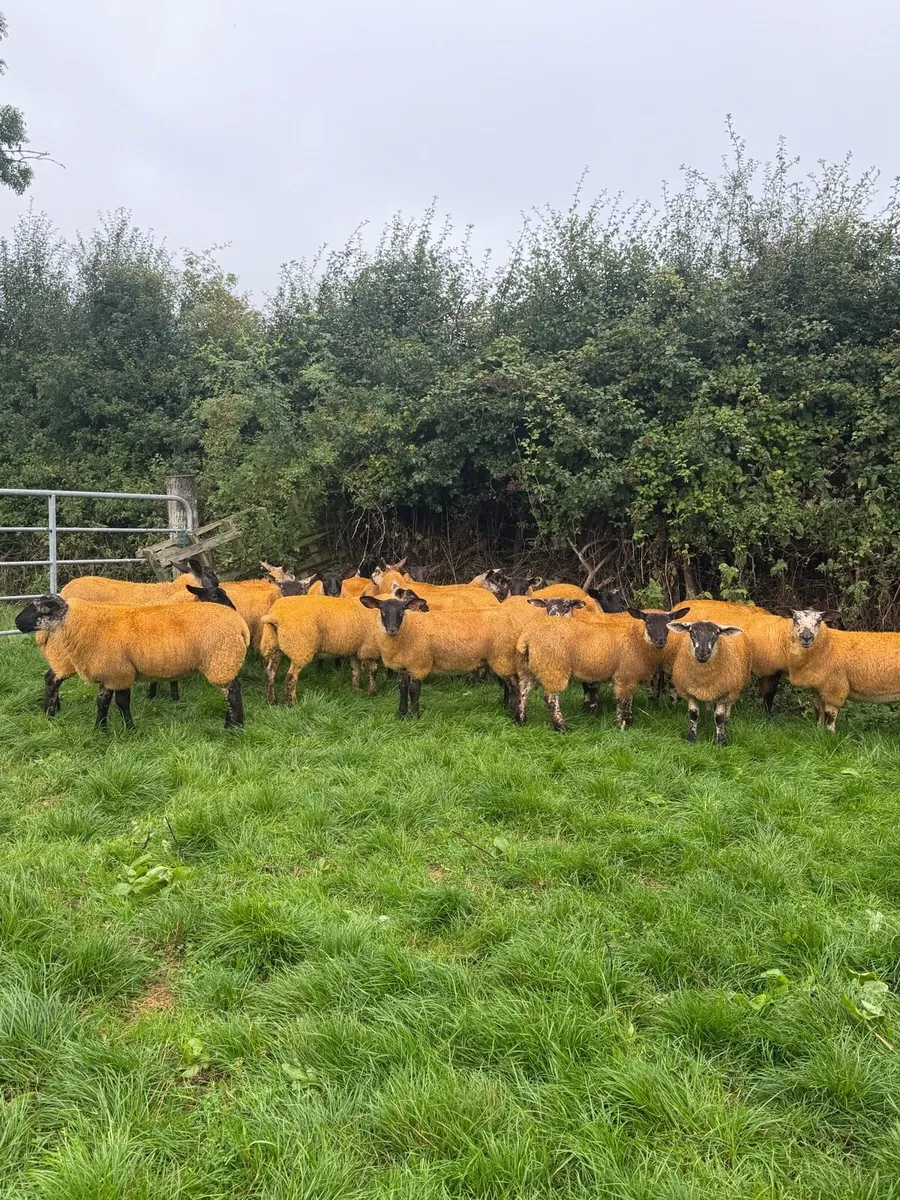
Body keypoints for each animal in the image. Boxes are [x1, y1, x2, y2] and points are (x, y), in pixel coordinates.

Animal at [16, 592, 249, 730]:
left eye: (37, 608)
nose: (17, 622)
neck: (79, 623)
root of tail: (240, 624)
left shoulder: (120, 673)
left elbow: (121, 703)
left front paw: (129, 729)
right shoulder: (110, 673)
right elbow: (102, 702)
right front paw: (100, 729)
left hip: (221, 660)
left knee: (233, 693)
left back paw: (233, 727)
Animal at [360, 590, 521, 719]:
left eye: (402, 611)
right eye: (382, 610)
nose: (392, 629)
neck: (408, 630)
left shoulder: (419, 665)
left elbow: (414, 690)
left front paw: (415, 716)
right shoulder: (402, 668)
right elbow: (403, 689)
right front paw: (401, 714)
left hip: (501, 657)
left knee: (515, 686)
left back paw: (515, 715)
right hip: (501, 658)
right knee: (507, 684)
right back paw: (506, 707)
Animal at [515, 605, 690, 731]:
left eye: (667, 625)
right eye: (648, 622)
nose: (660, 640)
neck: (636, 640)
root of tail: (526, 636)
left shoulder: (629, 675)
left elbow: (628, 699)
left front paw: (629, 721)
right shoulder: (624, 675)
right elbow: (622, 701)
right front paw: (620, 724)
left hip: (528, 668)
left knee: (523, 692)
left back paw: (521, 720)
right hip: (553, 667)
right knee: (550, 699)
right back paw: (561, 727)